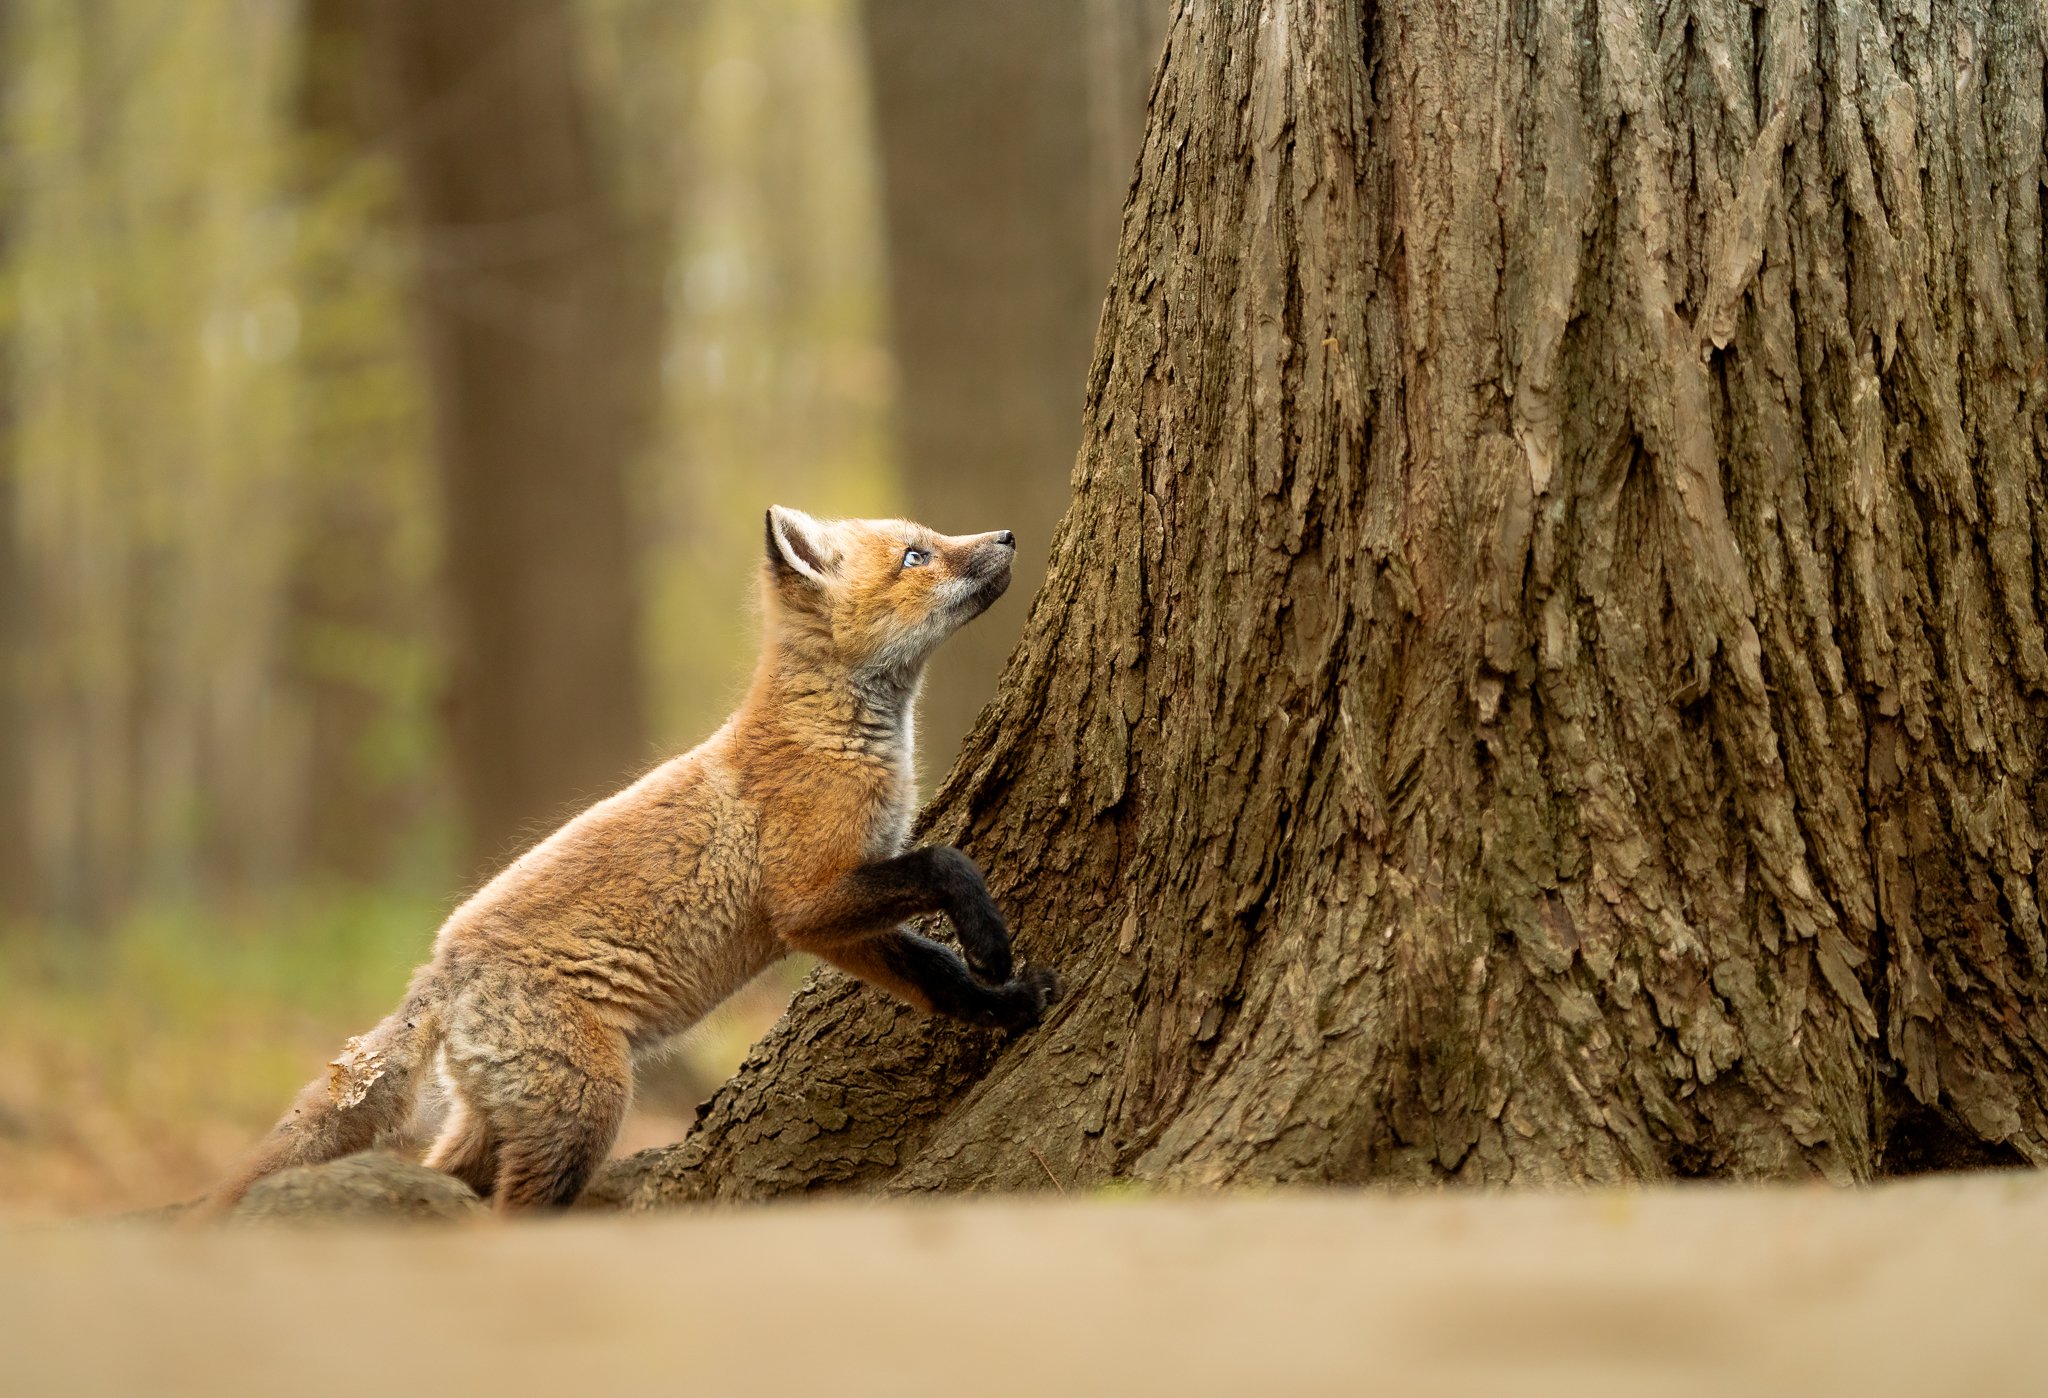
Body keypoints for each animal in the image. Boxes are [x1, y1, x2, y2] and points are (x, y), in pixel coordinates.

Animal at [202, 507, 1058, 1215]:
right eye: (917, 555)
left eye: (929, 535)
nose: (1009, 535)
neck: (835, 733)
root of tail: (442, 969)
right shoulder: (804, 899)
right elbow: (946, 863)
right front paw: (991, 942)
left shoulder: (830, 930)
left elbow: (937, 976)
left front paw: (1012, 1003)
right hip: (586, 1110)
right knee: (510, 1213)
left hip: (502, 1118)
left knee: (443, 1181)